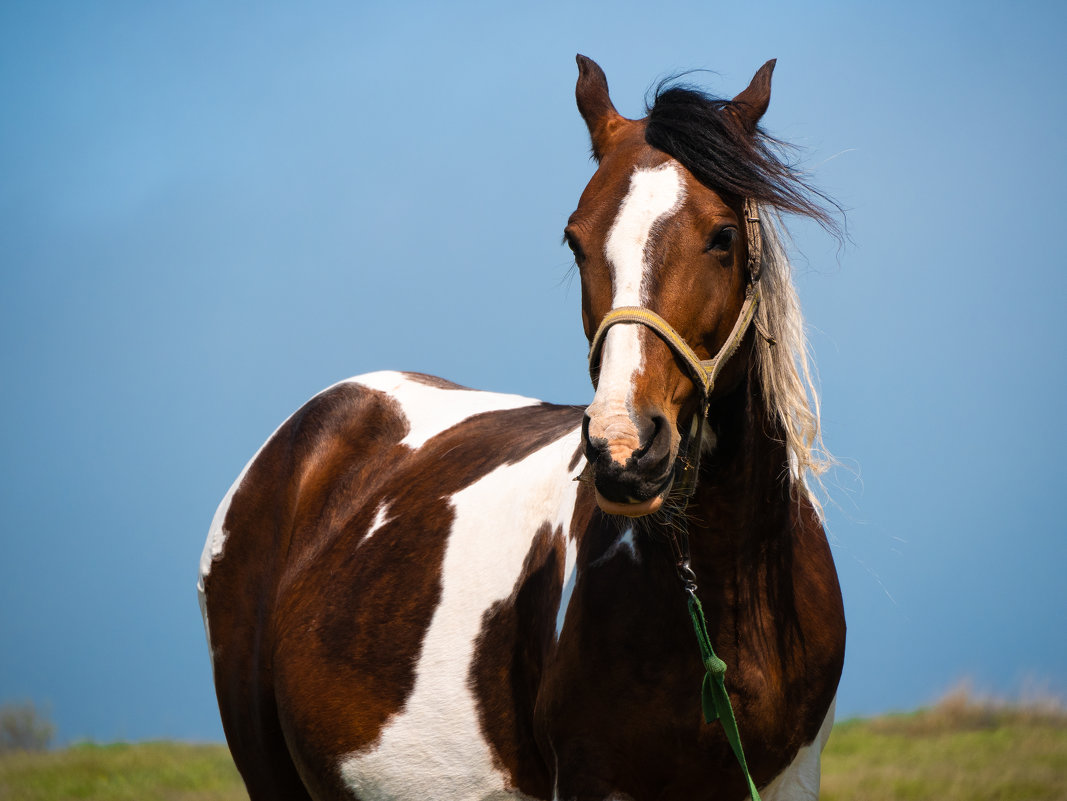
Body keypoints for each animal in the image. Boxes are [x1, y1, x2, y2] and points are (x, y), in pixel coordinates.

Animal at [200, 56, 845, 801]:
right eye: (575, 239)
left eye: (722, 236)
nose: (624, 448)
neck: (724, 603)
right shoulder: (591, 778)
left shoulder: (791, 777)